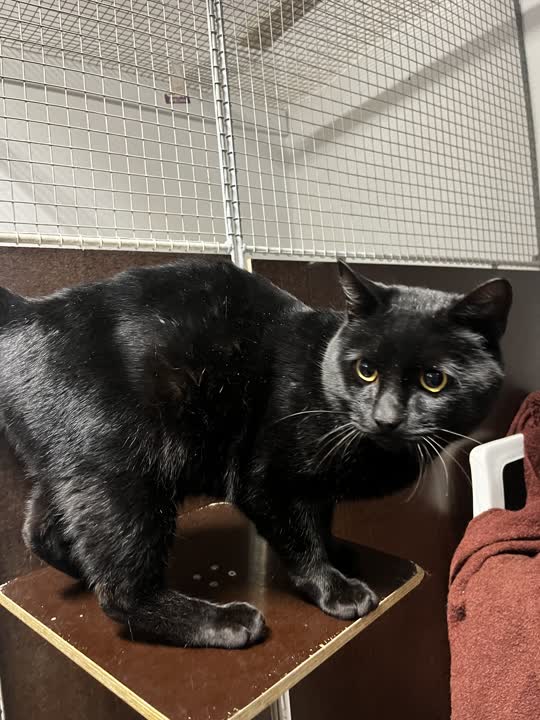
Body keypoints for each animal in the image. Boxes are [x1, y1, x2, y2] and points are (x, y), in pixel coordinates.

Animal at [0, 259, 512, 648]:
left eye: (434, 380)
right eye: (365, 370)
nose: (386, 418)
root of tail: (29, 312)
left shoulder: (315, 488)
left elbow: (320, 518)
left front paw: (337, 551)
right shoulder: (264, 481)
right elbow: (300, 541)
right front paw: (333, 588)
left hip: (74, 471)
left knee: (40, 534)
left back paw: (83, 571)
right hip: (125, 473)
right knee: (120, 592)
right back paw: (219, 622)